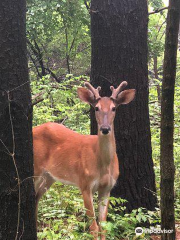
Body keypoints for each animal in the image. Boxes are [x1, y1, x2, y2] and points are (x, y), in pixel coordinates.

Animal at [33, 81, 135, 240]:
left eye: (114, 108)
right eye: (96, 108)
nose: (105, 128)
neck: (103, 164)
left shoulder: (107, 188)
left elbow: (103, 226)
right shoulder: (85, 184)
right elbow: (93, 227)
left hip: (49, 177)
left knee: (36, 199)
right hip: (35, 169)